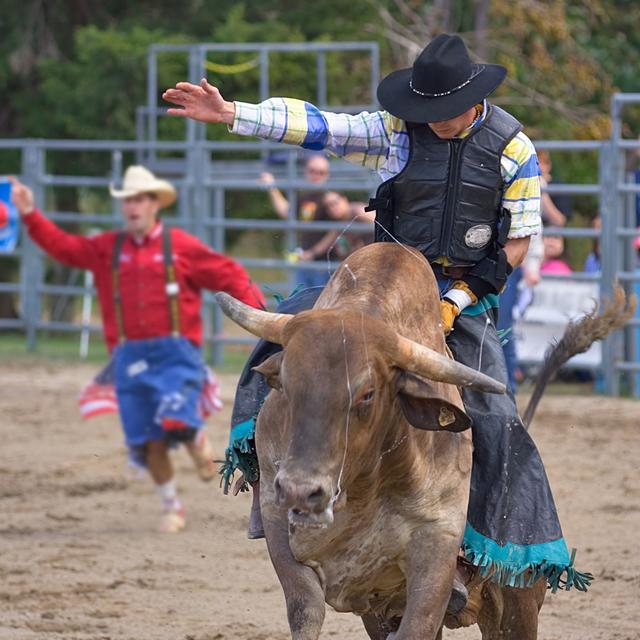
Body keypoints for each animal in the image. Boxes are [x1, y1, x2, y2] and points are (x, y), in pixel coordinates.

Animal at [216, 242, 552, 636]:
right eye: (284, 381)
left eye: (367, 394)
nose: (302, 491)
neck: (363, 486)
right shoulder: (276, 514)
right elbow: (306, 609)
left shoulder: (437, 543)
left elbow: (417, 625)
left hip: (518, 605)